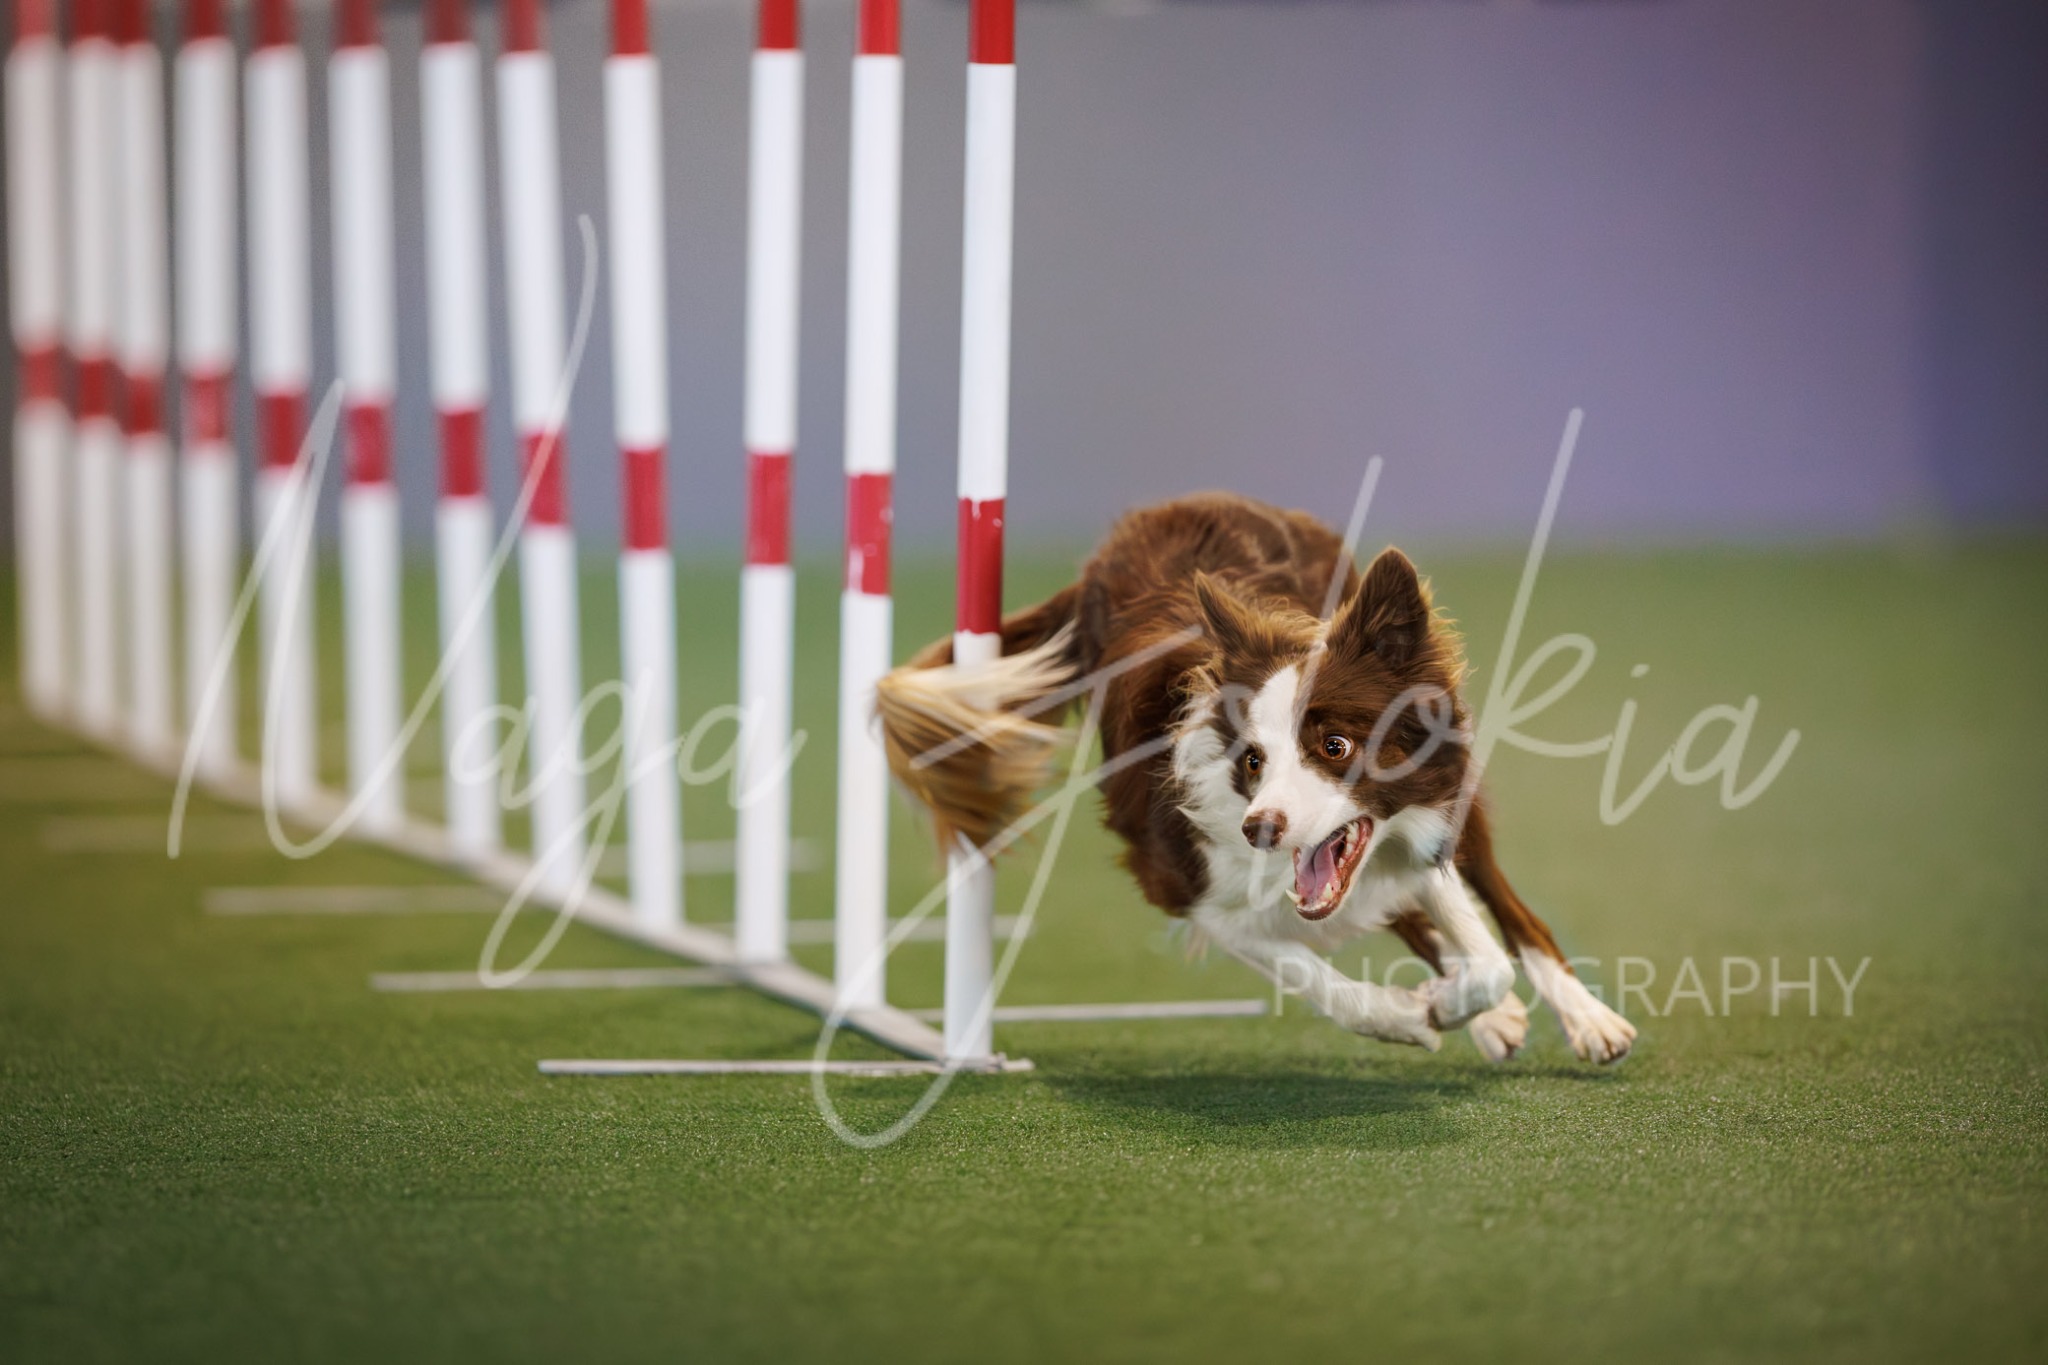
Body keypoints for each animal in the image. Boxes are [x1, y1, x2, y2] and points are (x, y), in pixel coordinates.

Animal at [876, 492, 1635, 1063]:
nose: (1260, 828)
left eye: (1335, 745)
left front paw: (1464, 1003)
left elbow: (1488, 952)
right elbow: (1319, 976)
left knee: (1512, 913)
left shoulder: (1424, 824)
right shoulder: (1188, 885)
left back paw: (1588, 1019)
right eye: (1252, 761)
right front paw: (1415, 1014)